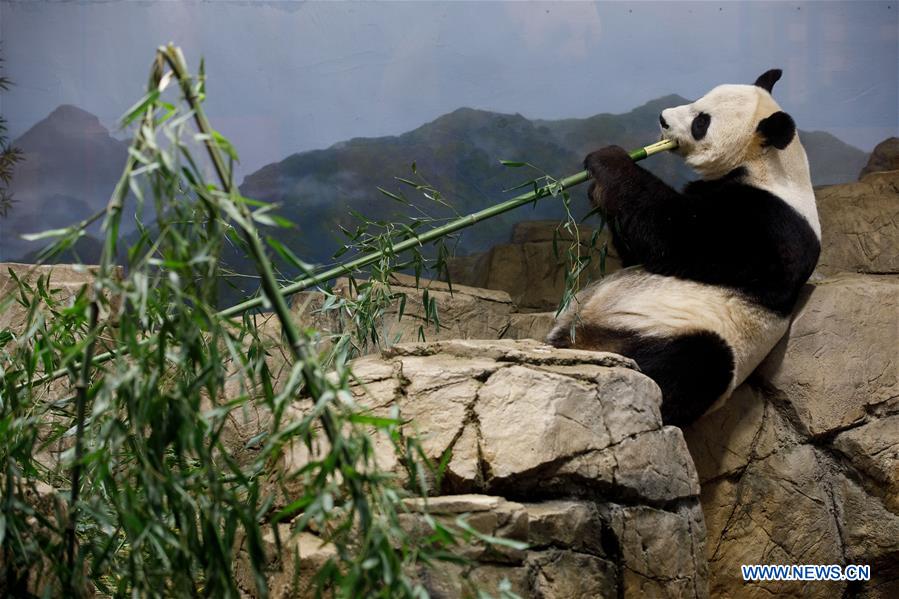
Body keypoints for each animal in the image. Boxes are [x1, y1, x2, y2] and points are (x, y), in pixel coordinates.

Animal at [546, 69, 821, 426]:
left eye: (701, 121)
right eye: (698, 98)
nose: (663, 119)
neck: (771, 165)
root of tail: (588, 341)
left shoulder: (771, 229)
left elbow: (677, 237)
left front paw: (609, 159)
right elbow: (638, 250)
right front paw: (599, 189)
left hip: (695, 338)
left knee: (695, 365)